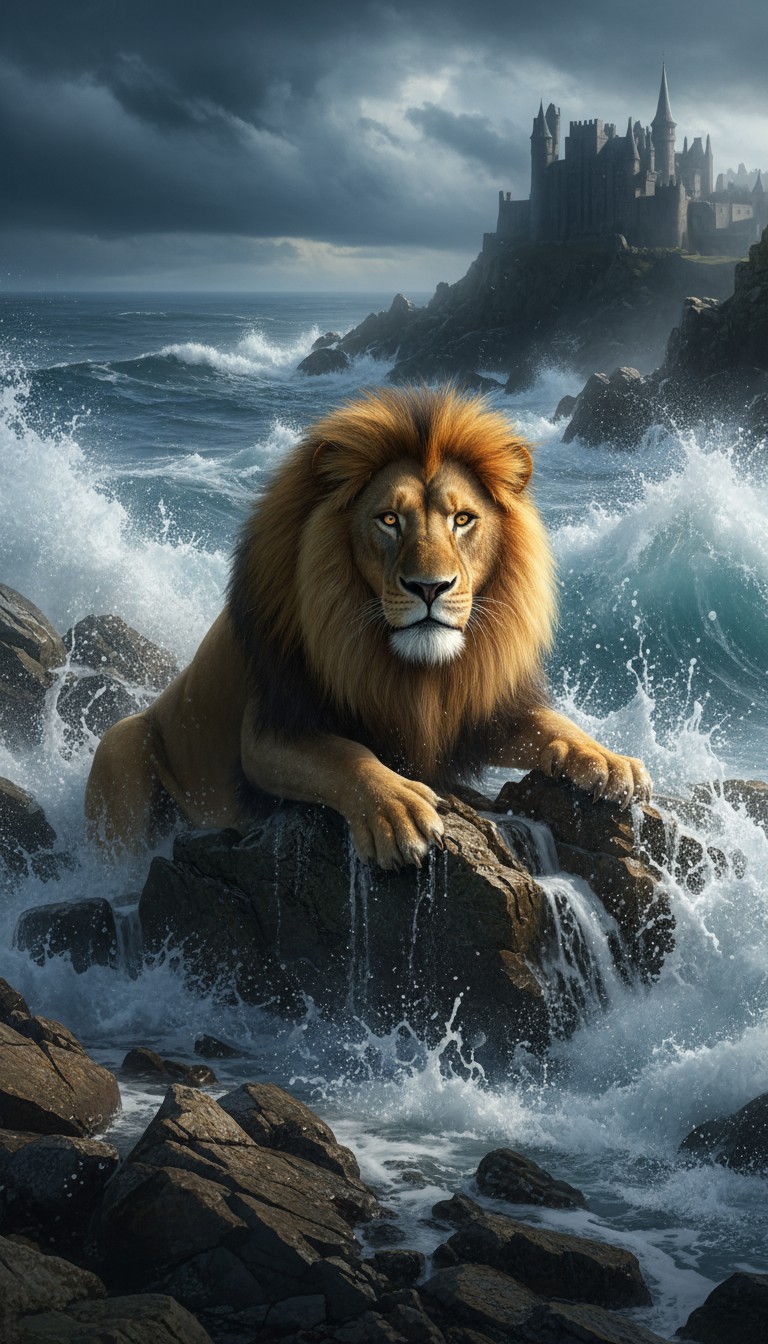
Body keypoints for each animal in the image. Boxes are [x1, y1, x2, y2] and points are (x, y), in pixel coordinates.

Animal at [85, 384, 651, 867]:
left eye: (462, 519)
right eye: (389, 520)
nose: (430, 587)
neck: (414, 671)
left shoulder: (478, 711)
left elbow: (551, 724)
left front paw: (607, 759)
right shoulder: (270, 730)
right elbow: (344, 754)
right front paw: (399, 810)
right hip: (120, 749)